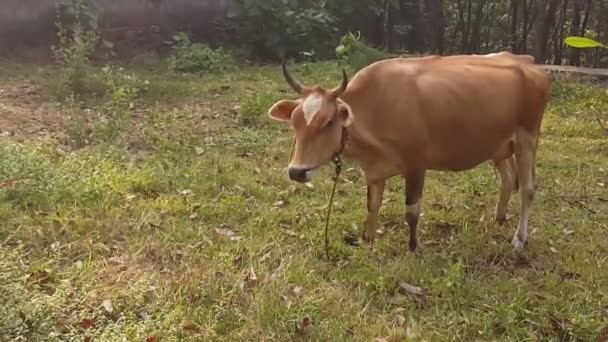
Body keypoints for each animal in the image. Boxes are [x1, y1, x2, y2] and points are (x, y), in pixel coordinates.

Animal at [270, 53, 552, 251]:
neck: (375, 108)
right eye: (295, 121)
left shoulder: (417, 164)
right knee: (508, 180)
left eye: (328, 122)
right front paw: (367, 241)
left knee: (528, 189)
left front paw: (414, 247)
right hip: (498, 147)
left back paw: (520, 237)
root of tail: (527, 62)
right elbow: (372, 205)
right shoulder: (374, 170)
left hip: (527, 139)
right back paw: (499, 218)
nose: (296, 172)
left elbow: (412, 211)